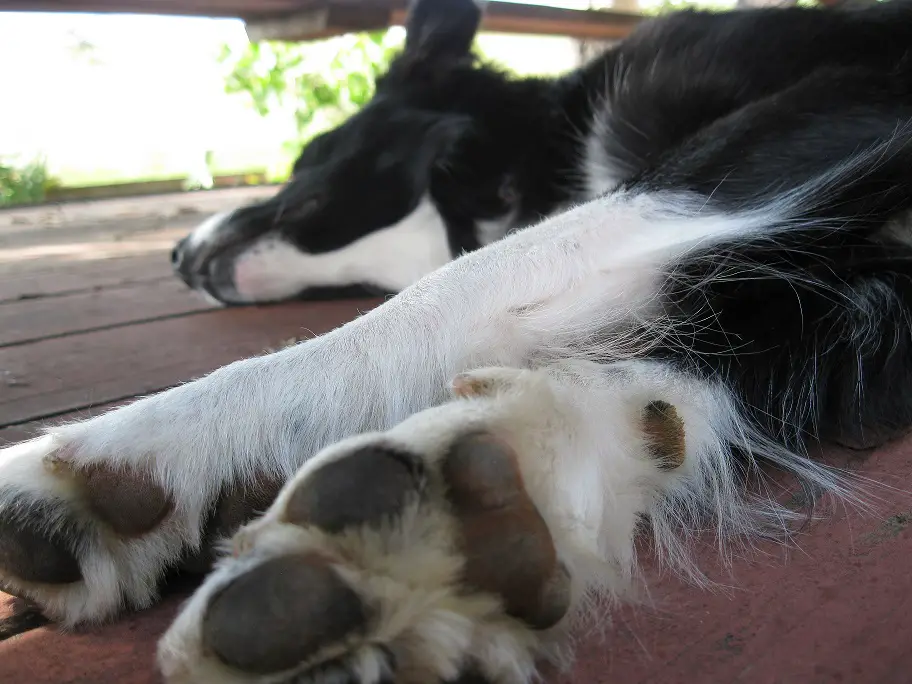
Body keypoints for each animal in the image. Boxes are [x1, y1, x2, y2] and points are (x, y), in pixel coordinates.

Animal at [1, 1, 912, 684]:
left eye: (309, 158)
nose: (177, 252)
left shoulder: (844, 102)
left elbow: (450, 287)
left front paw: (144, 442)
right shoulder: (845, 312)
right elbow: (685, 390)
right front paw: (489, 505)